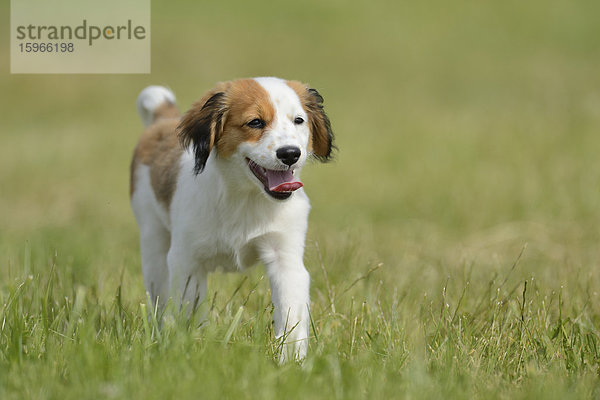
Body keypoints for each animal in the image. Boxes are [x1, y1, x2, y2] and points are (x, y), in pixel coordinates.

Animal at [130, 76, 332, 360]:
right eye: (255, 122)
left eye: (298, 120)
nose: (290, 153)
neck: (245, 197)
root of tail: (162, 122)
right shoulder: (187, 261)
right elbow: (188, 309)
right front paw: (190, 347)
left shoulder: (287, 259)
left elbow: (291, 316)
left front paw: (291, 361)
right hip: (153, 241)